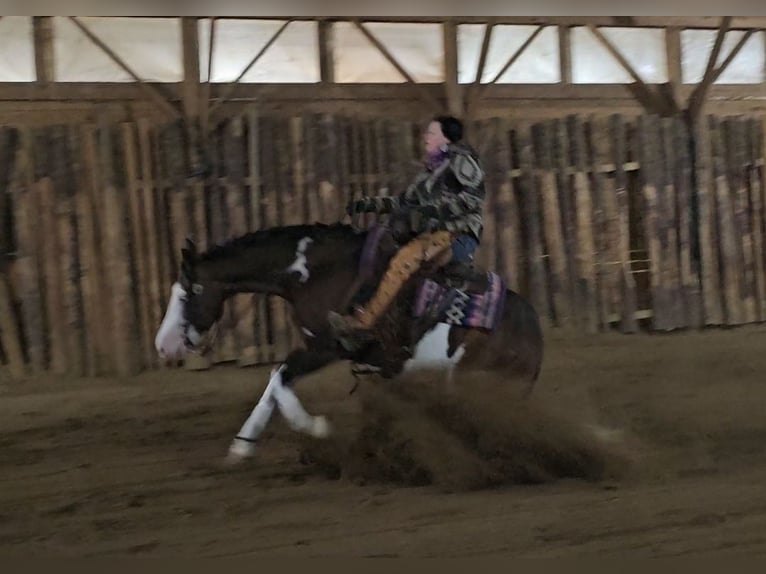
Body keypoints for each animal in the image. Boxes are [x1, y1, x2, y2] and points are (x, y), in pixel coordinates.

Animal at [154, 220, 544, 464]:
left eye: (189, 292)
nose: (163, 346)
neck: (314, 272)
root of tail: (533, 333)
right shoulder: (318, 346)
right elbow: (275, 380)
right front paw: (241, 446)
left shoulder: (329, 346)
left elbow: (280, 378)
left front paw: (317, 427)